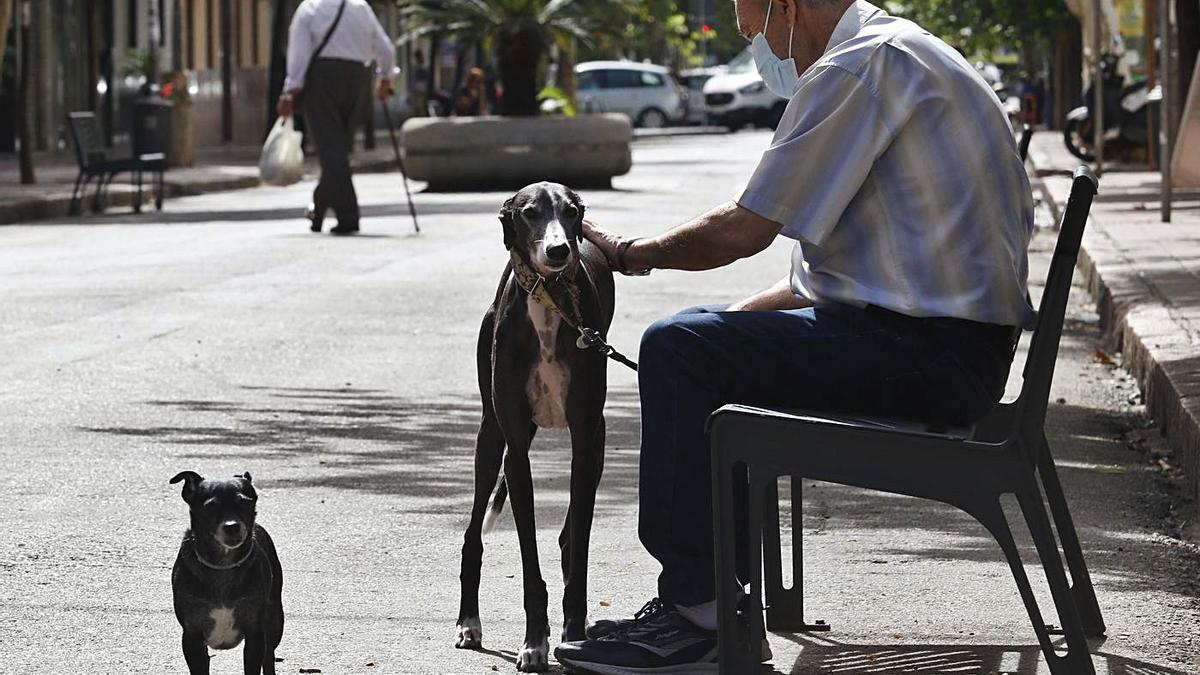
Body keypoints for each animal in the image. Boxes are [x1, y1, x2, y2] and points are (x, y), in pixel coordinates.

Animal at [170, 470, 284, 667]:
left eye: (245, 502)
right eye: (210, 506)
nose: (232, 526)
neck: (222, 564)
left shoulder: (255, 635)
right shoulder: (192, 637)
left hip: (275, 622)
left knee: (269, 656)